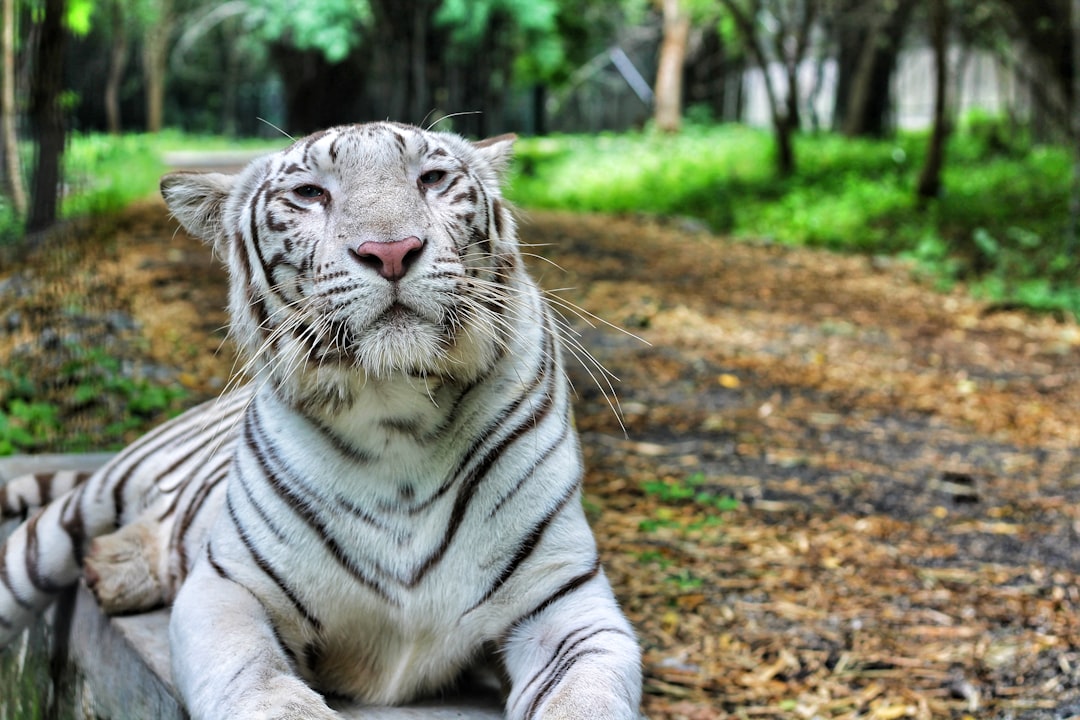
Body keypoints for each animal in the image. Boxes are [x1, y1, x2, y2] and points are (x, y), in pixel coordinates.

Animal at [0, 124, 639, 720]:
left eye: (432, 179)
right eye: (310, 193)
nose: (392, 251)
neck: (399, 419)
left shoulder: (564, 601)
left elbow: (584, 699)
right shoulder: (230, 585)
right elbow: (257, 678)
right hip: (75, 517)